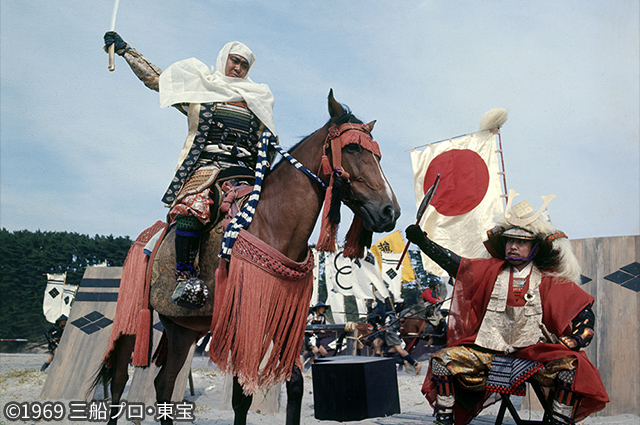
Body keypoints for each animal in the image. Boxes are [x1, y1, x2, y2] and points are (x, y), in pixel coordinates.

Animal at [100, 90, 400, 424]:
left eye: (378, 156)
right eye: (352, 148)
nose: (389, 211)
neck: (272, 224)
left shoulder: (284, 320)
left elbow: (295, 385)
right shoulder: (243, 320)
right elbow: (241, 397)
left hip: (182, 329)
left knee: (164, 383)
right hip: (131, 320)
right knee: (119, 380)